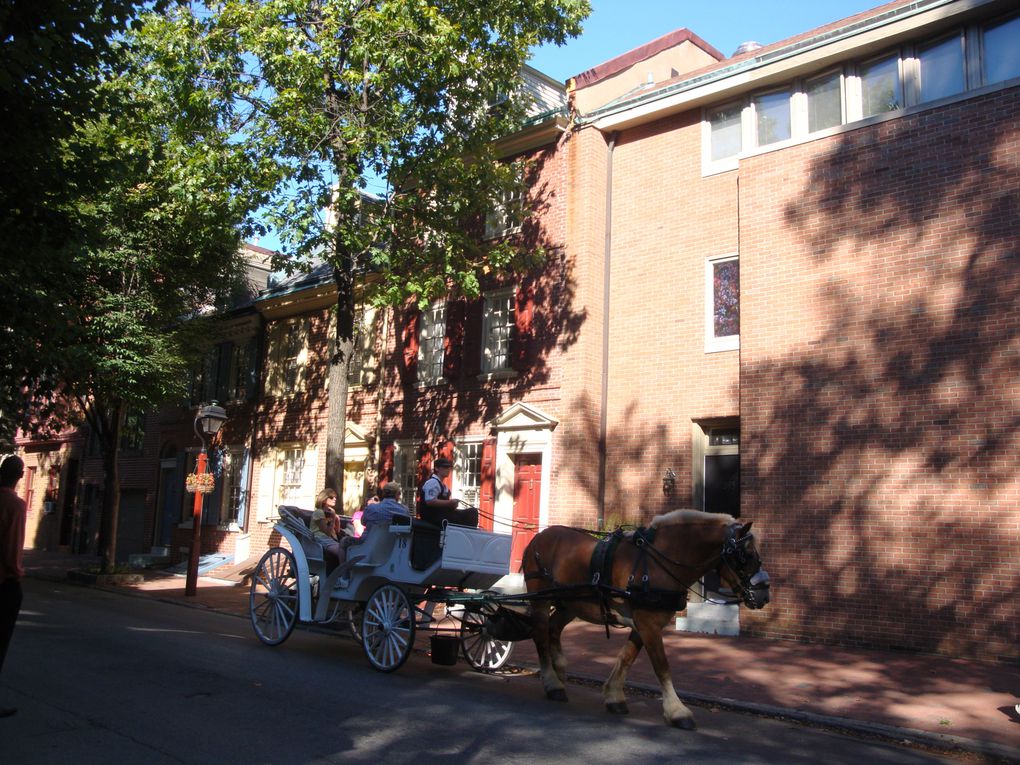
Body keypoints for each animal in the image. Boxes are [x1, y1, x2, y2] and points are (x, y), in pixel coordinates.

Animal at [522, 510, 767, 730]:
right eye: (746, 556)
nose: (765, 594)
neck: (659, 563)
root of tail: (539, 537)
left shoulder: (644, 625)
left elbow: (626, 657)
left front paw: (614, 697)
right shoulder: (648, 624)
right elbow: (662, 666)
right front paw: (677, 711)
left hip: (571, 604)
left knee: (553, 629)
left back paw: (560, 671)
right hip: (541, 600)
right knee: (540, 635)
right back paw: (552, 683)